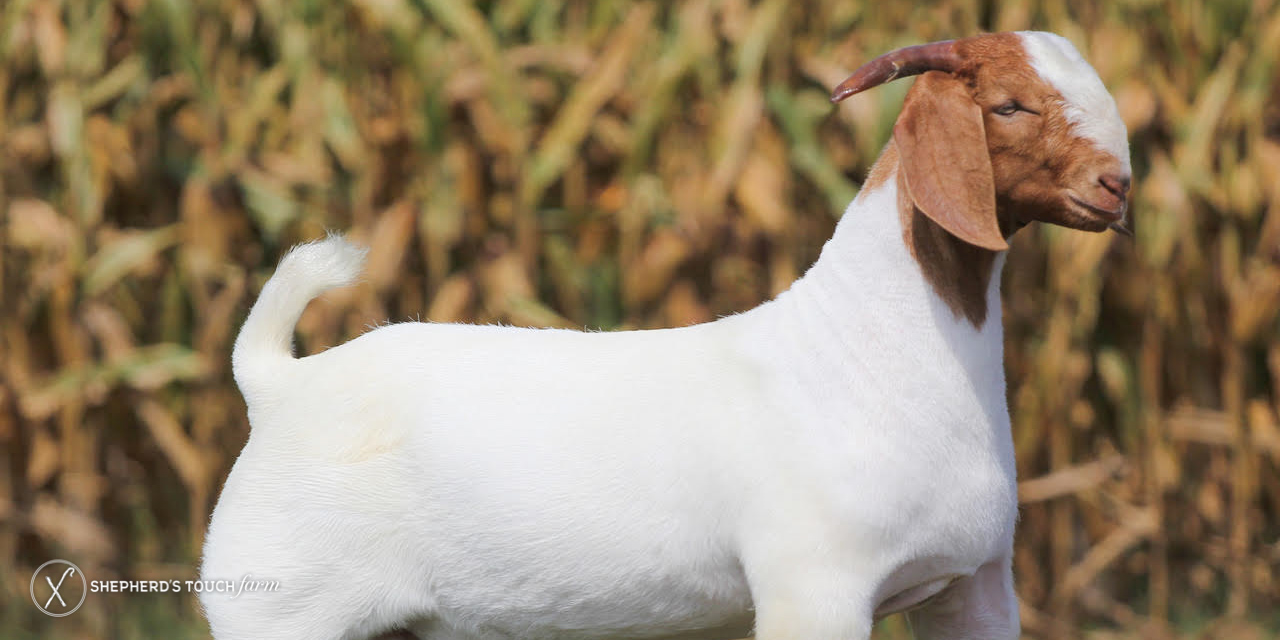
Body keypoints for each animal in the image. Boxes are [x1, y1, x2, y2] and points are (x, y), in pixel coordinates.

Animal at [199, 30, 1131, 640]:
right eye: (1008, 105)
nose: (1117, 188)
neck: (875, 344)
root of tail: (278, 384)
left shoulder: (974, 587)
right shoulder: (815, 586)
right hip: (273, 603)